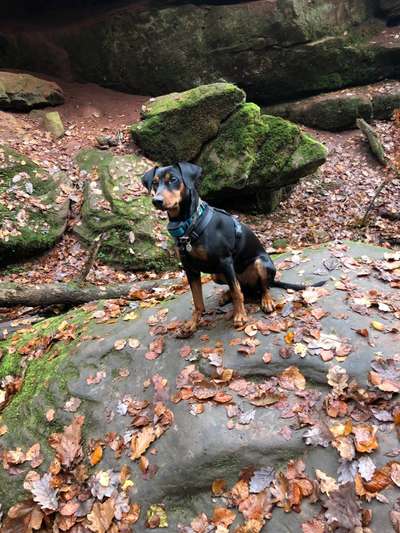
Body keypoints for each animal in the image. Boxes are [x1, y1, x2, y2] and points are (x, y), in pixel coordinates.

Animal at [142, 162, 324, 330]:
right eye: (155, 183)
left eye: (173, 179)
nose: (156, 201)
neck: (191, 223)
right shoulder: (190, 269)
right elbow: (197, 300)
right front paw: (193, 323)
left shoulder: (225, 261)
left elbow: (237, 293)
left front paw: (240, 316)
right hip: (217, 275)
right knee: (241, 287)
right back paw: (226, 295)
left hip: (260, 263)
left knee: (261, 287)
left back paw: (266, 301)